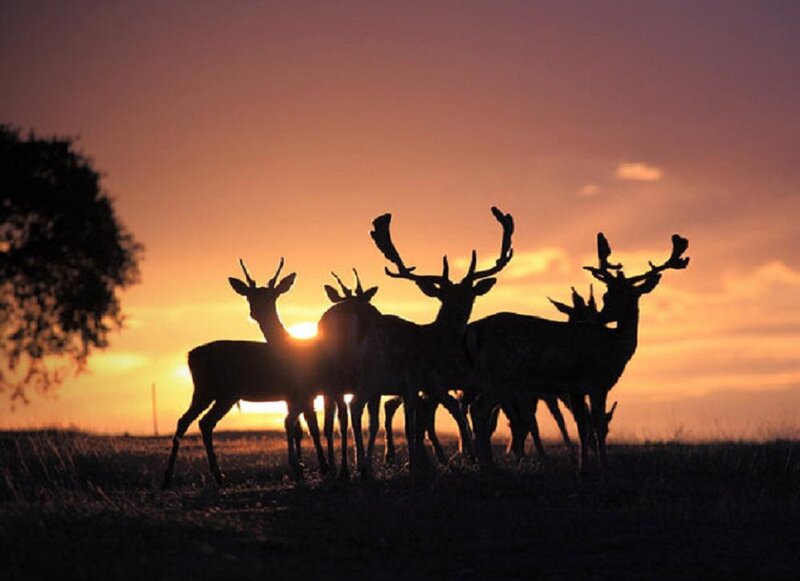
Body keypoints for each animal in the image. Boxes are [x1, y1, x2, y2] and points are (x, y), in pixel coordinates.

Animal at [161, 259, 328, 488]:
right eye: (249, 296)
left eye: (273, 296)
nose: (256, 312)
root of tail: (189, 356)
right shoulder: (303, 393)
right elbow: (310, 428)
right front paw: (315, 467)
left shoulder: (295, 395)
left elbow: (300, 429)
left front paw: (303, 469)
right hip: (215, 391)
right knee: (197, 421)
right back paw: (200, 475)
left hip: (215, 393)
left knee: (194, 421)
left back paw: (183, 477)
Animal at [466, 233, 689, 473]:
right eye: (607, 294)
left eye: (628, 295)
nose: (600, 317)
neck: (615, 348)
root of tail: (475, 328)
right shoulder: (598, 383)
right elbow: (597, 425)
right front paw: (604, 467)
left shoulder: (574, 388)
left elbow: (582, 427)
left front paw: (583, 468)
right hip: (503, 376)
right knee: (478, 409)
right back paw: (487, 466)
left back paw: (486, 464)